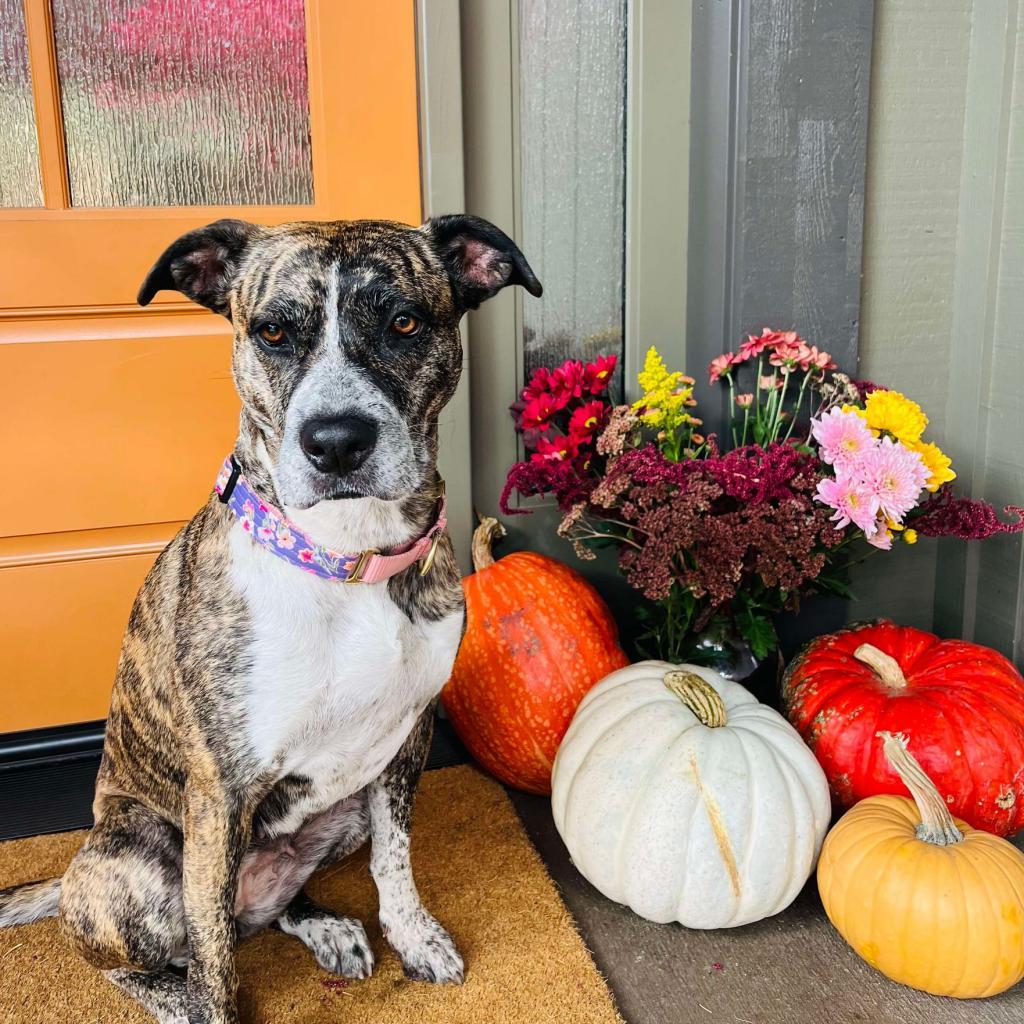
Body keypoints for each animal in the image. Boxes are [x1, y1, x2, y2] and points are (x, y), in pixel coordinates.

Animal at [0, 216, 540, 1024]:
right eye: (274, 332)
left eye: (404, 323)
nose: (337, 441)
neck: (346, 557)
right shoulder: (221, 793)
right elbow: (217, 970)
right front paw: (212, 1004)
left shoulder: (405, 741)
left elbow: (395, 861)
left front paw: (414, 938)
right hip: (136, 867)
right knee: (154, 954)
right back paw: (177, 997)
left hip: (341, 808)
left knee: (263, 909)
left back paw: (325, 927)